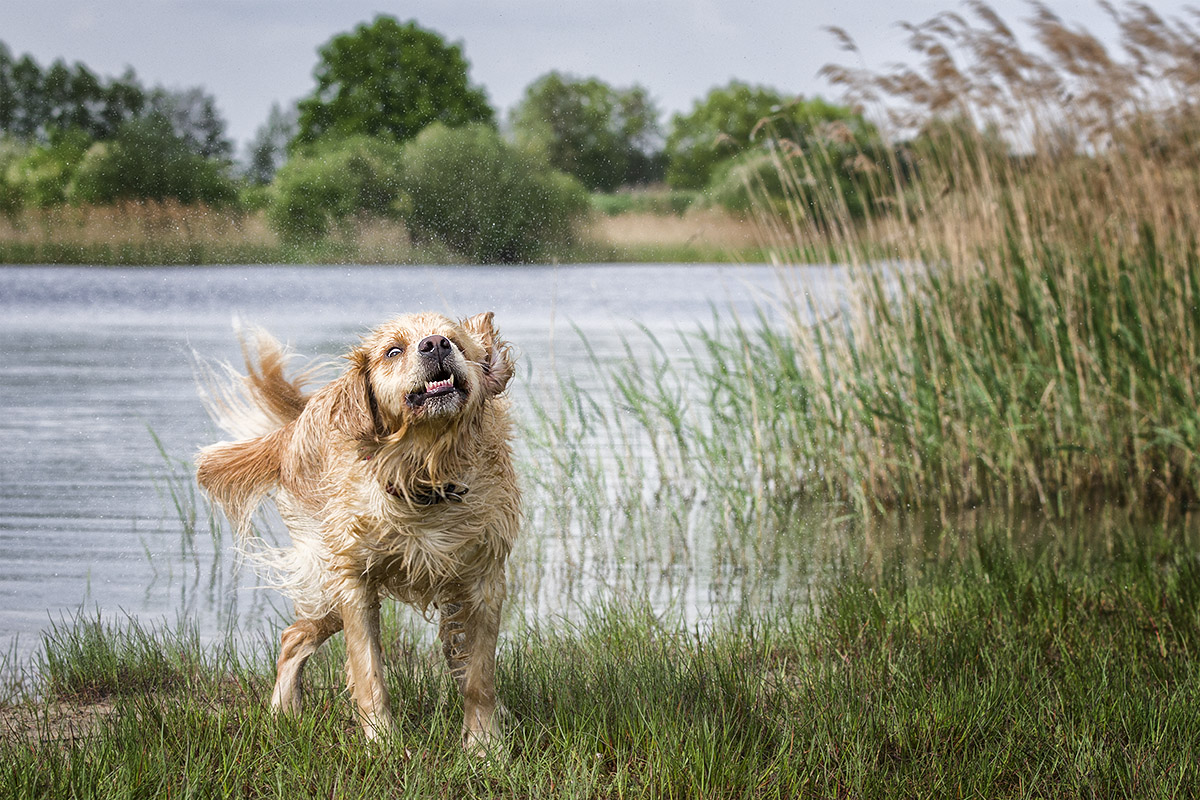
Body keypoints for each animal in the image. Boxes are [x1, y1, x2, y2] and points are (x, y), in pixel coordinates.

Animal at [194, 311, 518, 753]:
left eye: (454, 340)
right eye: (393, 351)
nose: (435, 344)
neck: (426, 476)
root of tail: (299, 421)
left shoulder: (483, 581)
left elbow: (478, 677)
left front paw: (485, 747)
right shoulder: (355, 583)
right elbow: (369, 673)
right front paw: (384, 745)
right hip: (326, 579)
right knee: (293, 637)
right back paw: (283, 713)